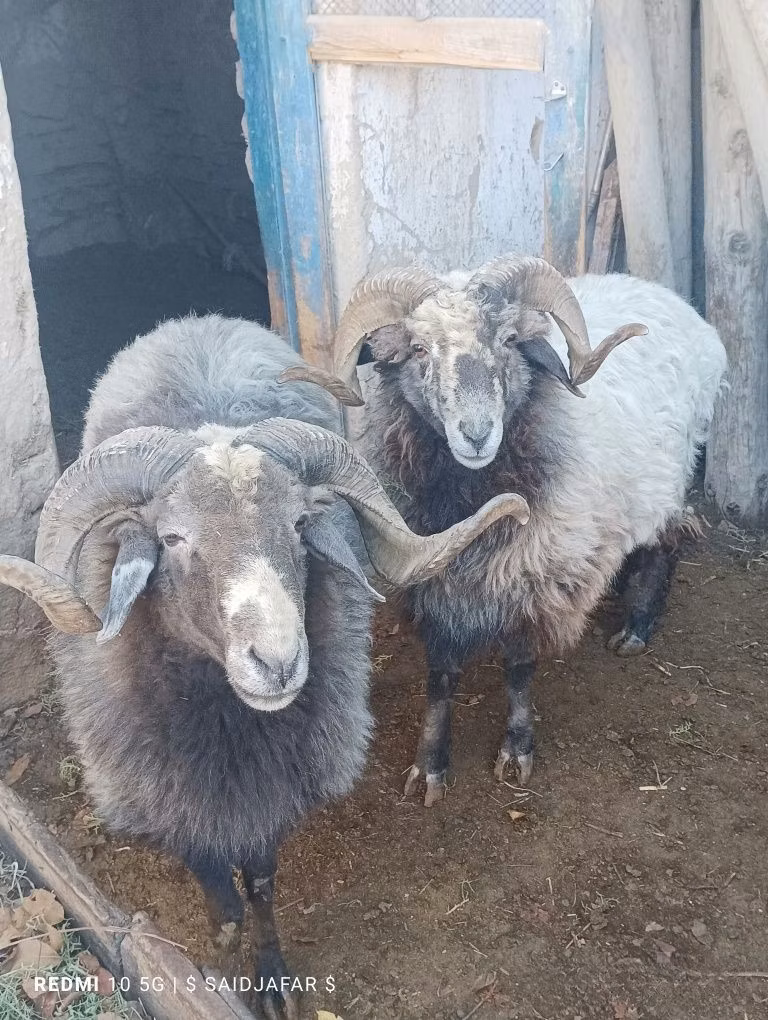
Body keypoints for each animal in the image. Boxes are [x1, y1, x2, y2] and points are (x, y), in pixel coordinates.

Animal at [0, 313, 530, 1017]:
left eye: (302, 521)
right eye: (172, 538)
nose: (277, 660)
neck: (227, 726)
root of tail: (198, 319)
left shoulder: (271, 785)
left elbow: (260, 880)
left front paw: (272, 977)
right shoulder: (162, 775)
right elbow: (197, 849)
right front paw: (222, 919)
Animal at [282, 256, 728, 808]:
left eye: (510, 340)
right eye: (418, 349)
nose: (476, 435)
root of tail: (675, 303)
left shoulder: (535, 577)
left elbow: (518, 668)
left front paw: (516, 749)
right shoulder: (432, 576)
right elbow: (439, 677)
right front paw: (429, 764)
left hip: (671, 476)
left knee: (667, 541)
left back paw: (636, 628)